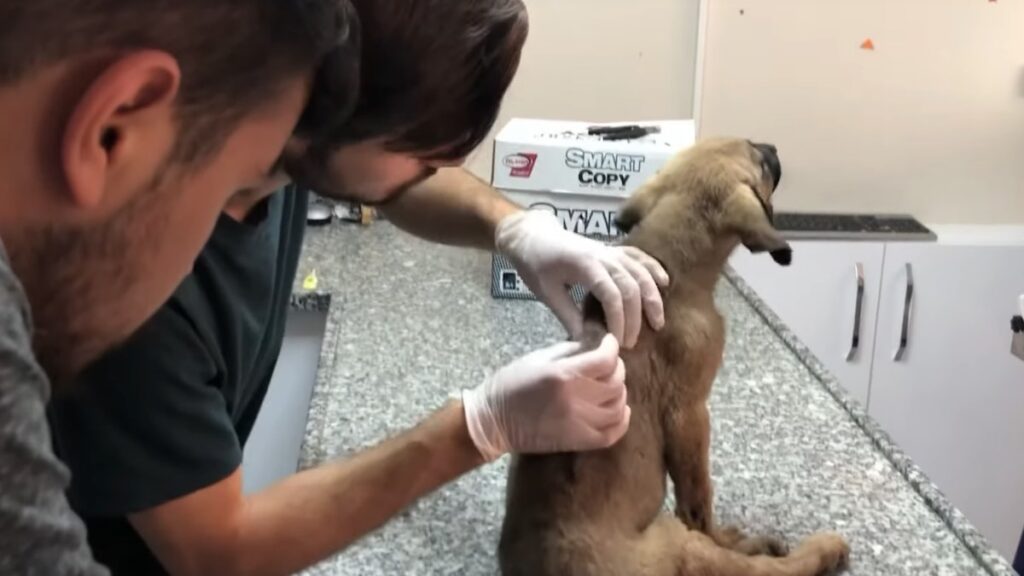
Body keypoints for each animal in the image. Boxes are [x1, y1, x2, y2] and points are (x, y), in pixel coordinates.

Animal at [501, 139, 847, 573]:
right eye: (760, 159)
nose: (773, 146)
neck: (672, 271)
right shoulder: (690, 414)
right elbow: (698, 497)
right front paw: (726, 534)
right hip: (681, 544)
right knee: (768, 566)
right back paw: (809, 546)